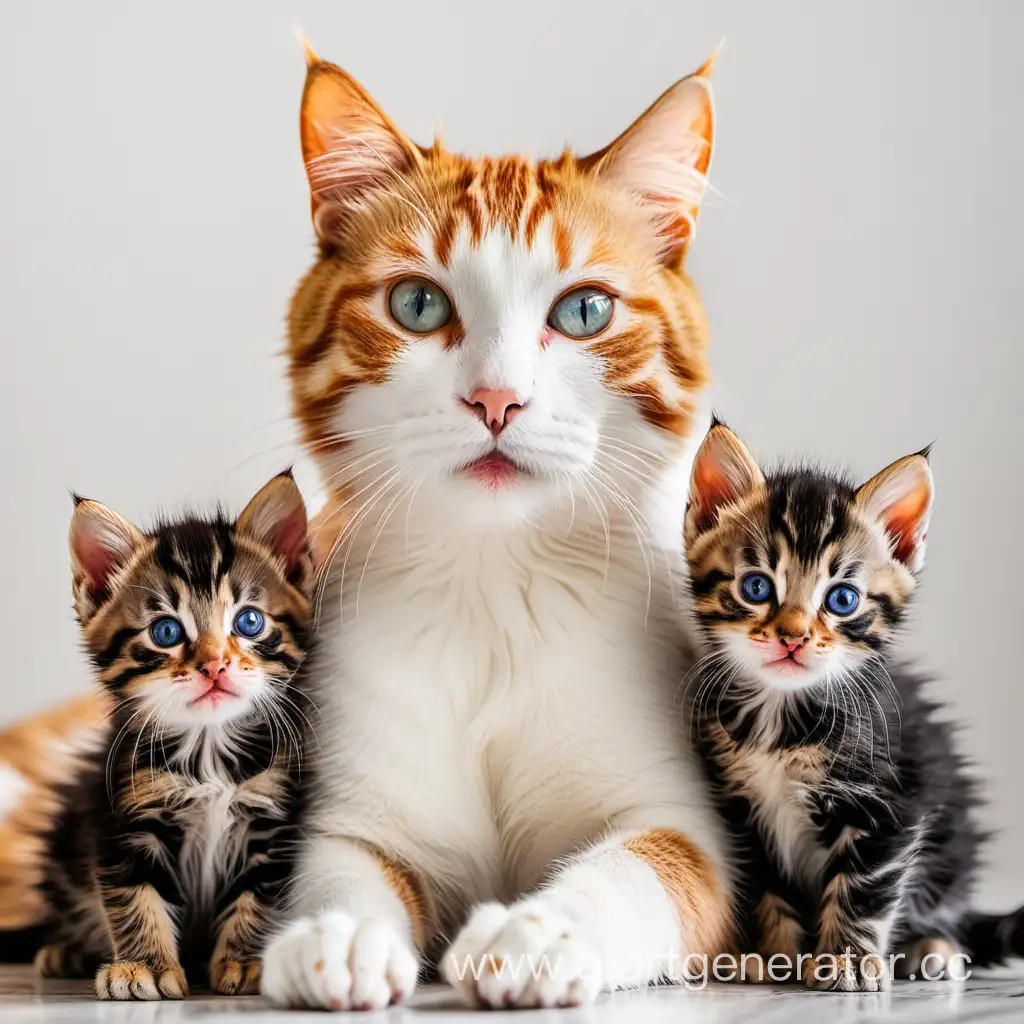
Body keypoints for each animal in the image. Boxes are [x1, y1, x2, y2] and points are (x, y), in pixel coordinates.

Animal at [36, 471, 311, 999]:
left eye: (249, 621)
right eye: (166, 631)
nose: (215, 665)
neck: (208, 750)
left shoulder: (272, 820)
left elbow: (260, 895)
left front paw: (247, 960)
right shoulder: (124, 816)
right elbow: (133, 895)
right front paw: (142, 966)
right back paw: (68, 950)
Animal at [260, 46, 733, 1007]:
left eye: (586, 310)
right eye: (416, 304)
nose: (495, 399)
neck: (493, 588)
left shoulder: (682, 818)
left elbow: (640, 866)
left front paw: (540, 929)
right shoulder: (357, 802)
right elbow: (342, 866)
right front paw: (343, 934)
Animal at [684, 419, 1019, 987]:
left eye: (842, 599)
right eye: (756, 587)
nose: (793, 637)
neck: (781, 716)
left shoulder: (893, 801)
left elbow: (864, 886)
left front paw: (847, 959)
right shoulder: (746, 812)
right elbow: (770, 888)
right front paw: (775, 956)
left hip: (952, 844)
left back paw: (933, 947)